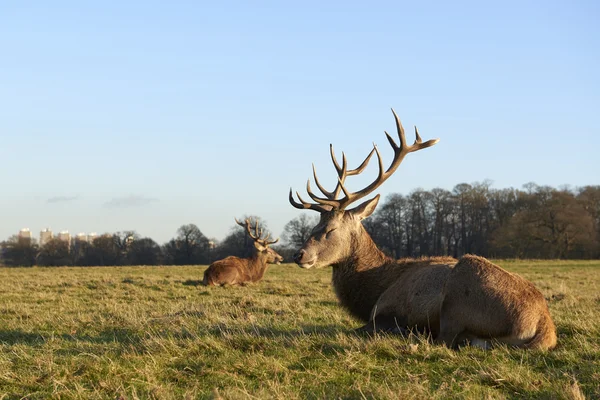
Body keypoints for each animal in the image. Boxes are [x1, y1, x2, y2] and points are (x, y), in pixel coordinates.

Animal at [288, 109, 556, 350]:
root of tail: (544, 326)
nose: (299, 255)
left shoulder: (386, 312)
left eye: (331, 229)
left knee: (445, 340)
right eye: (315, 224)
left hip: (458, 296)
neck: (375, 289)